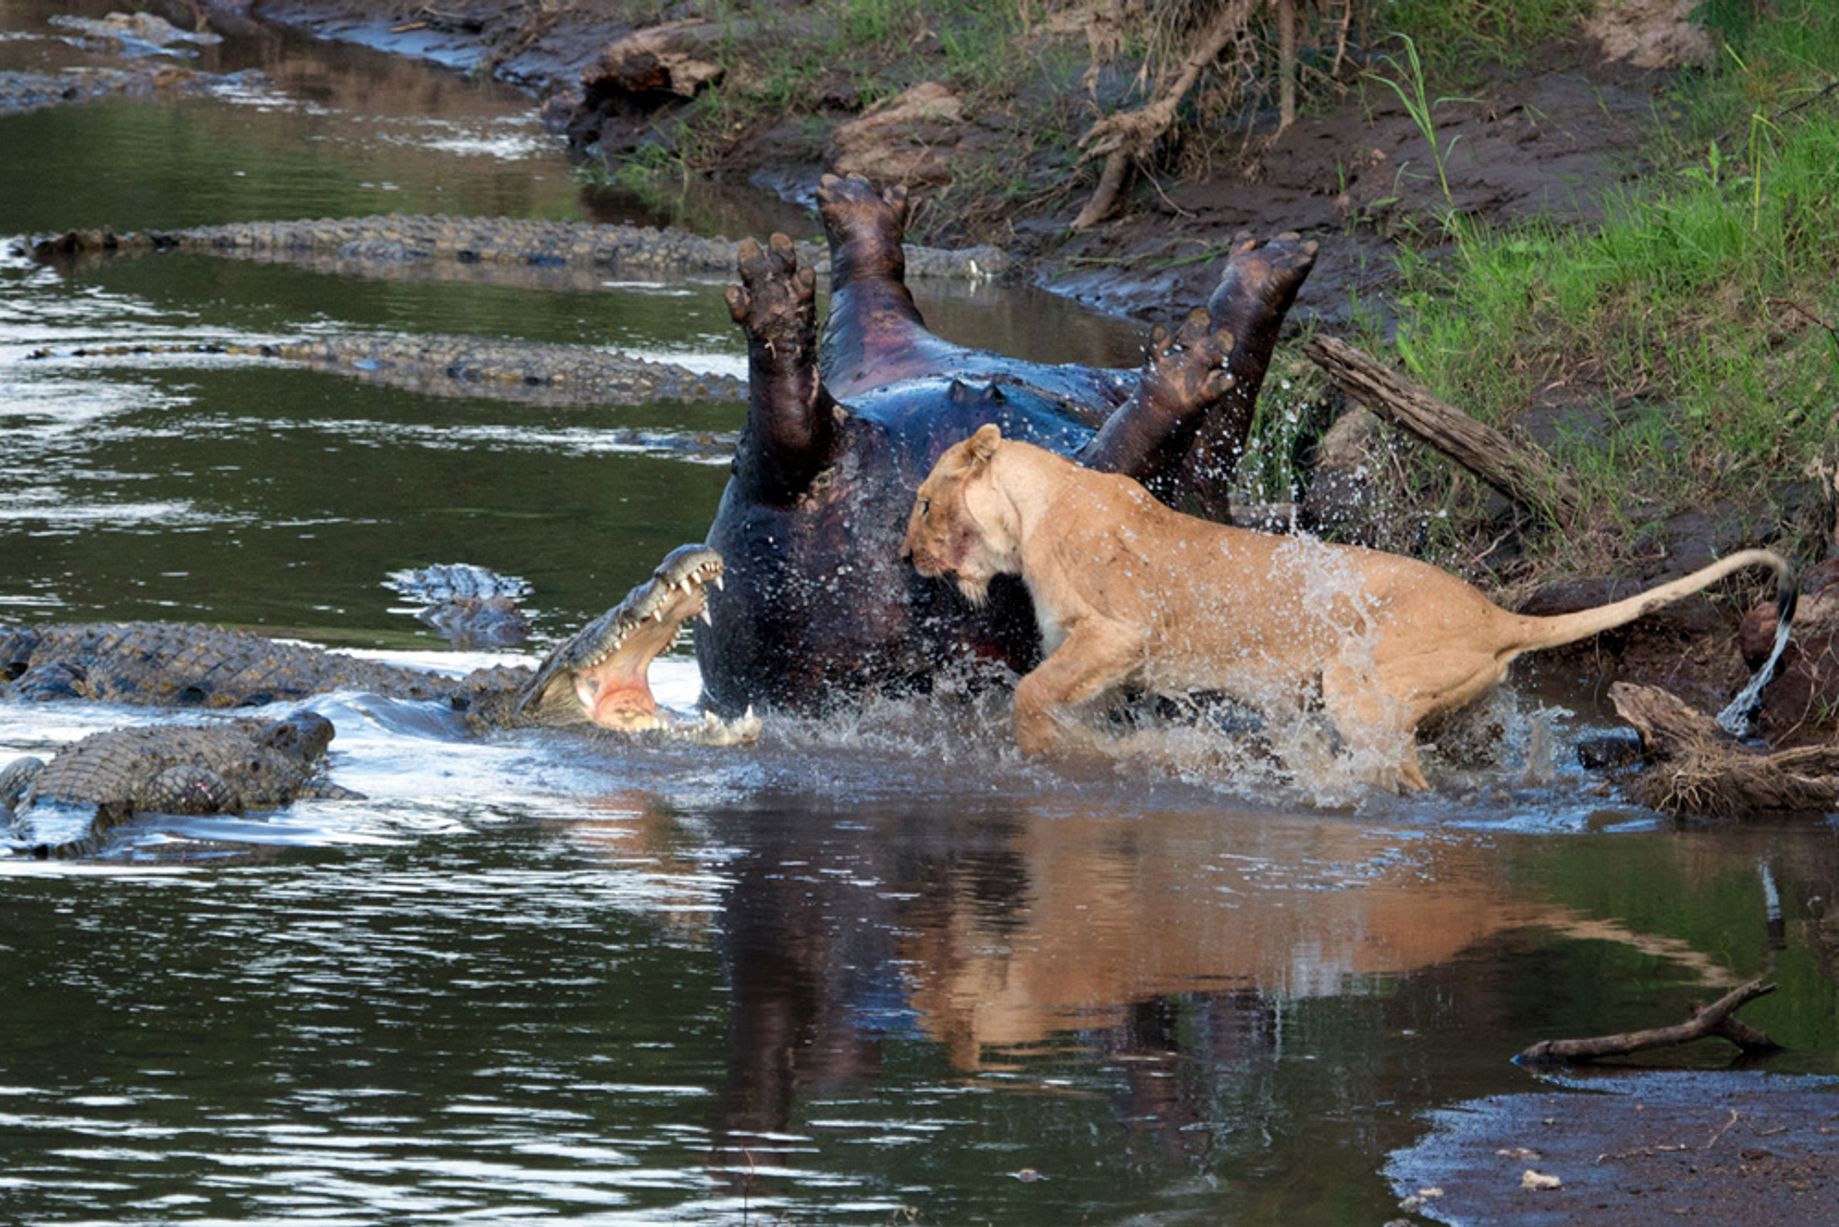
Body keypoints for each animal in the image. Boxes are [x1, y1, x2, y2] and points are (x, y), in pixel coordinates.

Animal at [900, 423, 1796, 792]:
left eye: (921, 502)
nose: (905, 558)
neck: (1034, 504)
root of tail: (1494, 614)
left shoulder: (1118, 634)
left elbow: (1029, 694)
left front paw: (1060, 755)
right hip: (1452, 709)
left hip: (1356, 685)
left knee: (1400, 773)